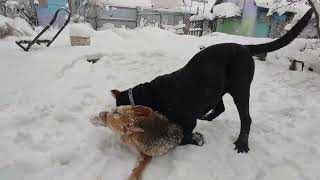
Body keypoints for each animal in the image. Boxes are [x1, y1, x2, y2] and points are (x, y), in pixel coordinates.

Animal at [110, 8, 312, 152]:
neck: (149, 95)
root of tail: (244, 47)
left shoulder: (188, 122)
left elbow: (183, 137)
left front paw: (195, 140)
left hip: (240, 90)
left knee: (246, 119)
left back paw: (242, 144)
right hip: (217, 88)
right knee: (220, 107)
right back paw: (207, 117)